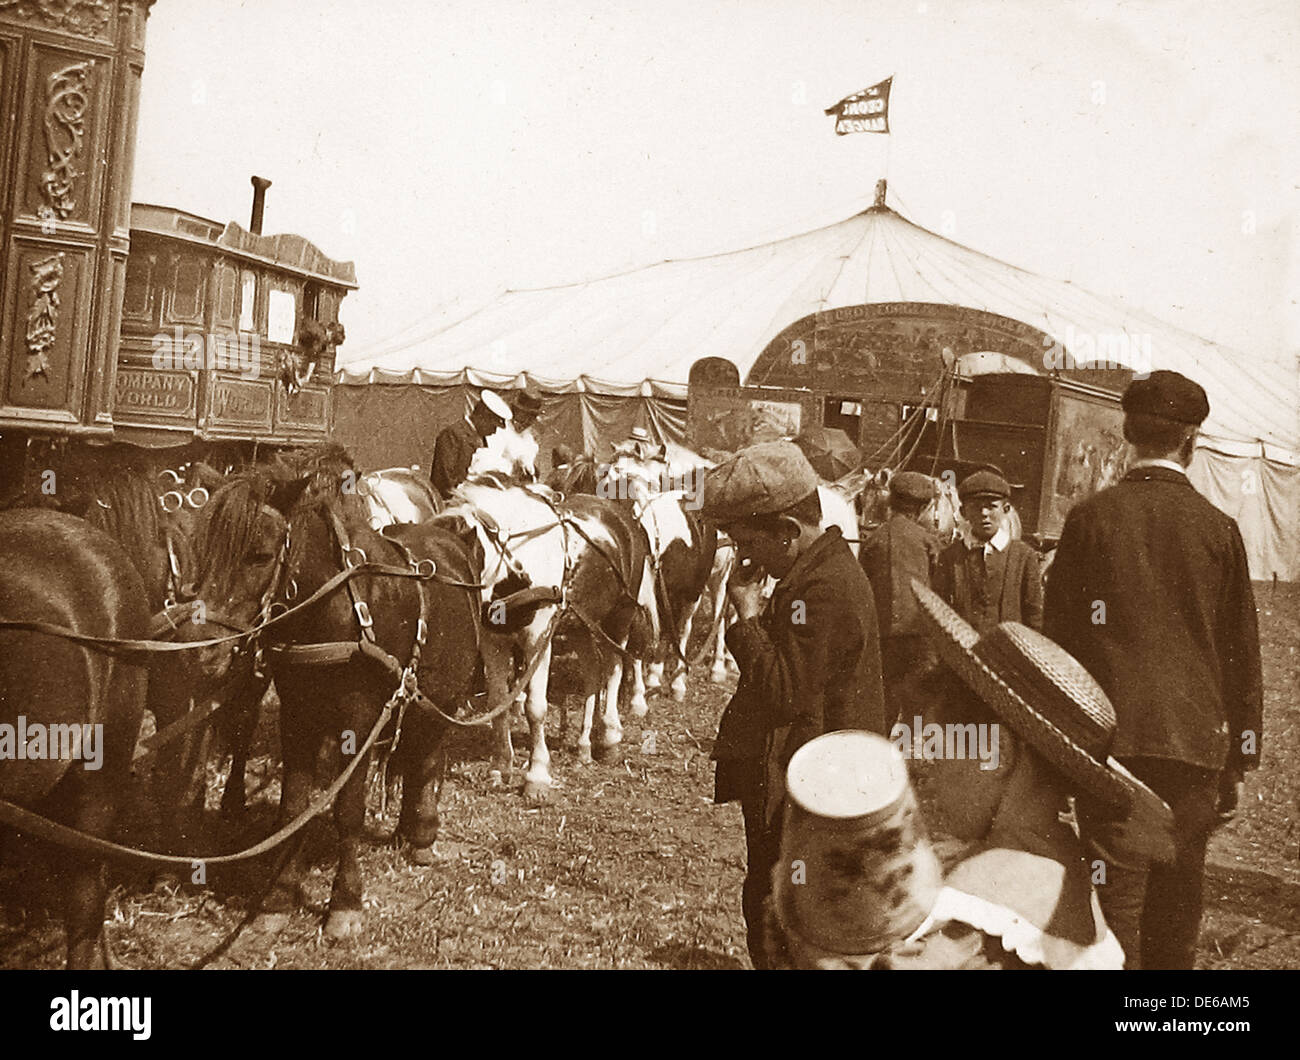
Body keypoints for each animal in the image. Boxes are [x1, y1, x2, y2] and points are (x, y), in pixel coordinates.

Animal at [189, 444, 480, 936]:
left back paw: (422, 834)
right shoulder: (297, 713)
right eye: (201, 551)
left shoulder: (359, 721)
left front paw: (345, 902)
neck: (336, 610)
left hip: (443, 695)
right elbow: (292, 808)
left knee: (428, 756)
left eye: (259, 555)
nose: (205, 653)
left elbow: (348, 812)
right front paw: (278, 898)